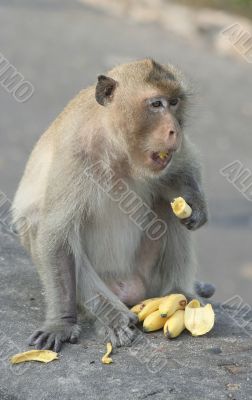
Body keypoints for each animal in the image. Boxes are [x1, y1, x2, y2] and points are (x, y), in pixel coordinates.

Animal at [11, 57, 214, 352]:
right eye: (156, 104)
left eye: (175, 102)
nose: (175, 130)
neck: (116, 147)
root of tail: (132, 289)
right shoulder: (74, 153)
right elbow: (55, 235)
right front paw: (61, 323)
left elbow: (183, 162)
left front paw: (196, 203)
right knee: (38, 224)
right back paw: (112, 318)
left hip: (147, 275)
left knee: (166, 206)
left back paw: (179, 293)